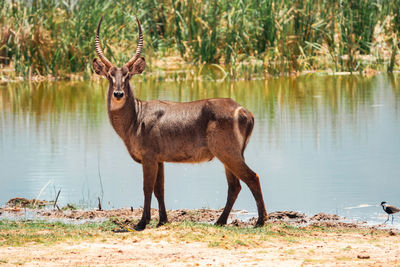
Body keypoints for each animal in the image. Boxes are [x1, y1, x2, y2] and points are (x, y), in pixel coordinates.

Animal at [93, 16, 268, 231]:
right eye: (110, 76)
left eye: (127, 75)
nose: (118, 94)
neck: (136, 118)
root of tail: (244, 111)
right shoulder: (159, 160)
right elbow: (160, 190)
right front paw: (162, 219)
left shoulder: (149, 157)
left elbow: (147, 188)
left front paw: (142, 222)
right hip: (229, 155)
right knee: (235, 185)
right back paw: (220, 221)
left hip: (228, 153)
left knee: (252, 178)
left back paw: (260, 221)